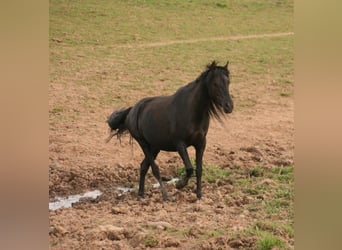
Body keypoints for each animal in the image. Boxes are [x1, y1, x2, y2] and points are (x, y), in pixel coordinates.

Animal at [107, 61, 232, 200]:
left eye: (228, 82)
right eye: (215, 83)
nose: (229, 106)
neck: (192, 111)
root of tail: (132, 110)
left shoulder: (201, 143)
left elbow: (199, 169)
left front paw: (199, 195)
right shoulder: (180, 144)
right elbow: (189, 168)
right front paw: (180, 185)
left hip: (155, 147)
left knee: (143, 166)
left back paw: (141, 193)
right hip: (143, 144)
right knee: (154, 169)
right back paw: (165, 195)